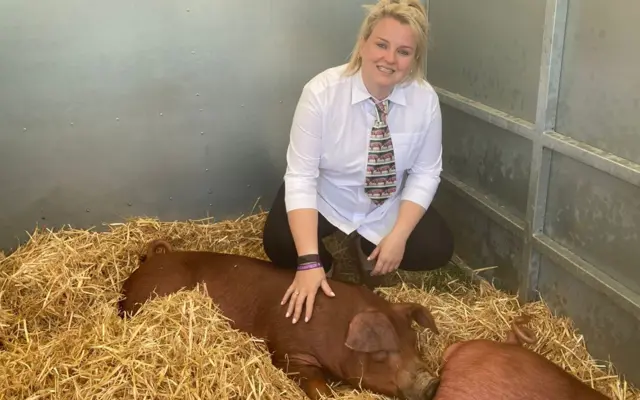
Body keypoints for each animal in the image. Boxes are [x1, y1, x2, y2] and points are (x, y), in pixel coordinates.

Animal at [119, 241, 440, 400]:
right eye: (381, 353)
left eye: (414, 343)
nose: (432, 382)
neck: (336, 328)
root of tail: (150, 261)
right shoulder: (290, 352)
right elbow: (314, 382)